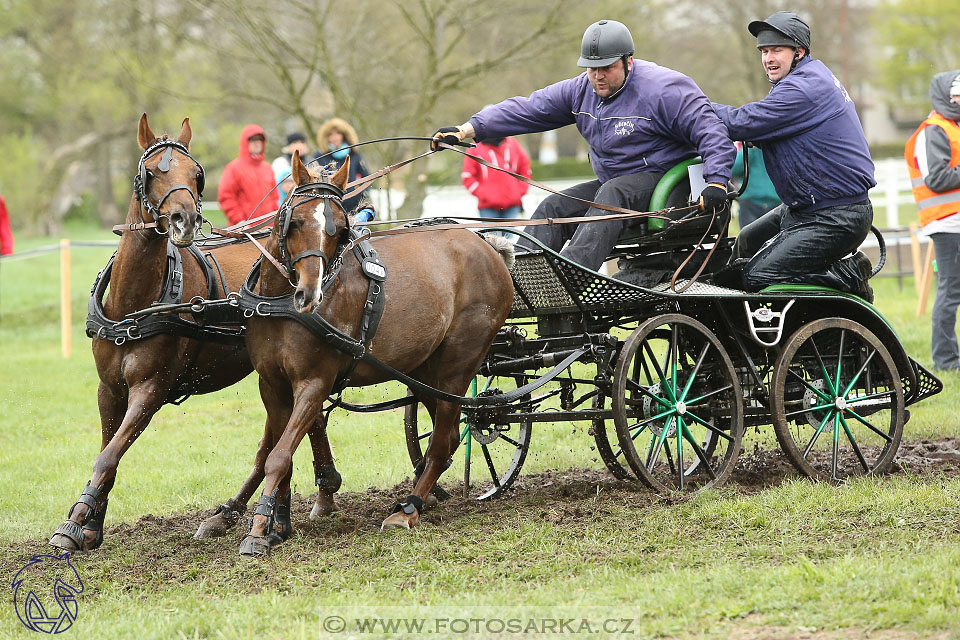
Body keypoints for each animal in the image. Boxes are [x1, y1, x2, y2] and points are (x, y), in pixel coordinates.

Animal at [51, 114, 342, 552]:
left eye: (196, 174)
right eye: (151, 172)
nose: (184, 220)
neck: (135, 304)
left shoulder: (150, 389)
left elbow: (108, 454)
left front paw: (73, 524)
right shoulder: (109, 389)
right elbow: (108, 451)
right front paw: (90, 524)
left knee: (284, 435)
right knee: (293, 428)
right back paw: (270, 507)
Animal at [238, 151, 516, 556]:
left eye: (339, 229)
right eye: (297, 222)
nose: (310, 294)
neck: (281, 304)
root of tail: (487, 246)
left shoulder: (314, 383)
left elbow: (278, 455)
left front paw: (258, 532)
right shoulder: (271, 384)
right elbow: (279, 454)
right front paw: (276, 526)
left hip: (458, 362)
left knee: (442, 440)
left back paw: (408, 509)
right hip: (425, 369)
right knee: (447, 436)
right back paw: (419, 498)